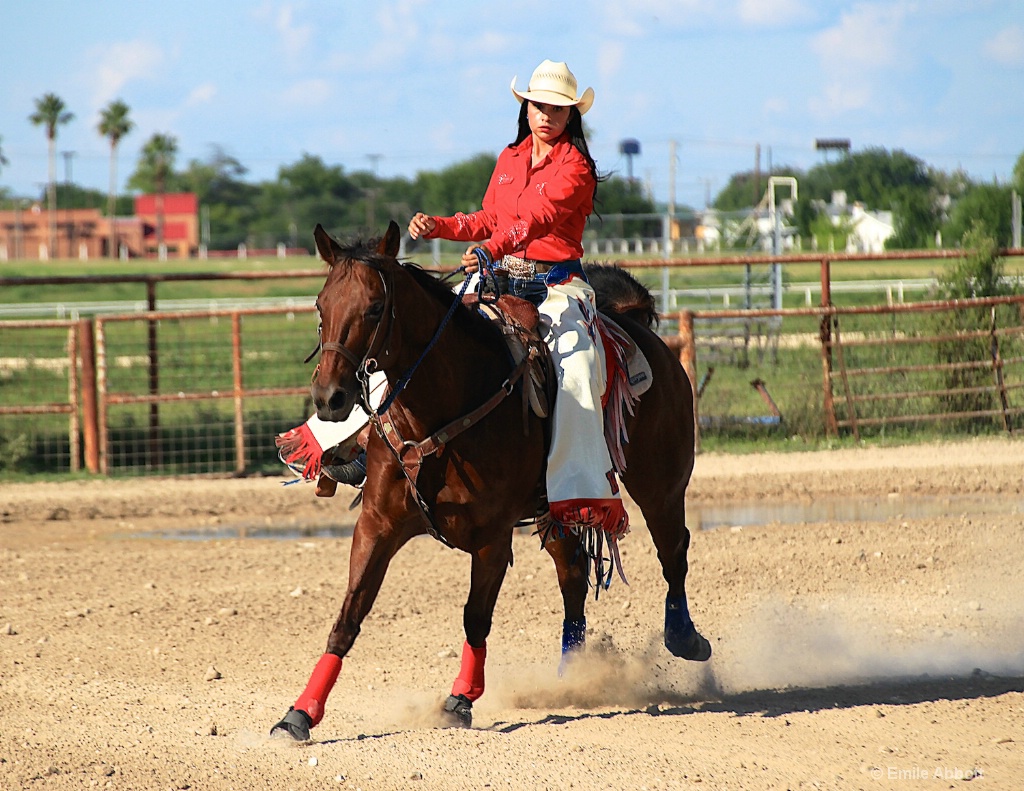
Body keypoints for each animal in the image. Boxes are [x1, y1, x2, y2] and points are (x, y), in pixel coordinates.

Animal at [268, 219, 708, 737]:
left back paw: (684, 637)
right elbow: (349, 616)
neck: (444, 409)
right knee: (573, 574)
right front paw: (300, 713)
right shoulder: (377, 524)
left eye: (375, 308)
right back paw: (574, 672)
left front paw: (460, 698)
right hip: (559, 506)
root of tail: (636, 324)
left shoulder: (493, 538)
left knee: (672, 550)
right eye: (321, 305)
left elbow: (475, 618)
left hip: (660, 484)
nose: (329, 398)